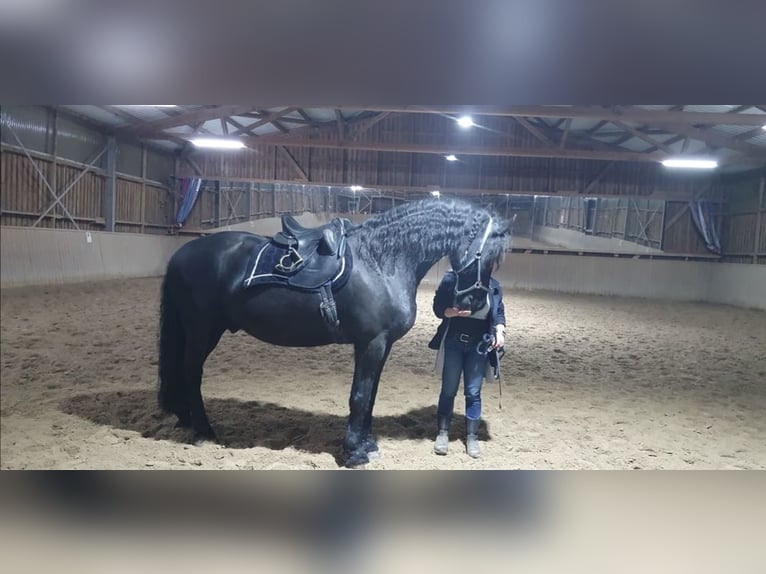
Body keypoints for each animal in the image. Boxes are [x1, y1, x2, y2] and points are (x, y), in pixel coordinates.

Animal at [157, 197, 511, 467]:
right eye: (486, 254)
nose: (473, 303)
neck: (380, 261)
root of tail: (180, 255)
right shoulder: (370, 343)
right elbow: (359, 396)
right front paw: (354, 452)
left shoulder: (380, 345)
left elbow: (370, 396)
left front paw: (367, 443)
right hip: (202, 330)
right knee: (191, 373)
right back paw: (204, 431)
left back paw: (186, 419)